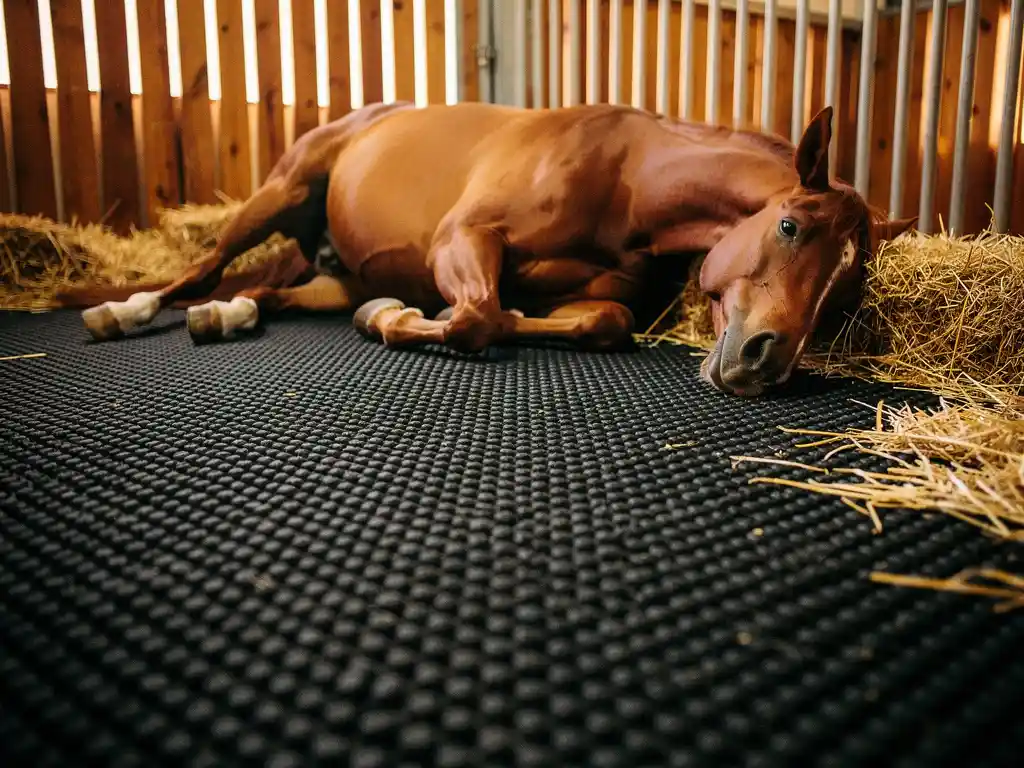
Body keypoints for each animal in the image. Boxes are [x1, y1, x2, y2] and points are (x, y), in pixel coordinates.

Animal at [59, 101, 916, 397]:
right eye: (790, 226)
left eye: (847, 290)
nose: (765, 363)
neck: (627, 177)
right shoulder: (465, 240)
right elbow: (476, 319)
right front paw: (397, 319)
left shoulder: (597, 297)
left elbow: (598, 322)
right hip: (273, 196)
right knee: (199, 268)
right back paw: (122, 311)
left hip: (327, 274)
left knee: (263, 290)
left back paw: (227, 315)